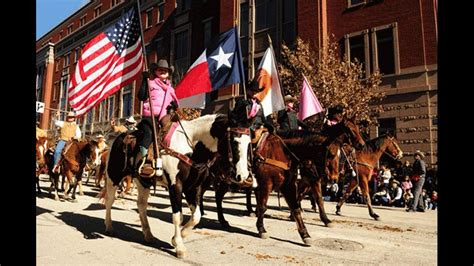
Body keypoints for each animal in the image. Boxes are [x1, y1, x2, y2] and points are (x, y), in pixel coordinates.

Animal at [103, 114, 252, 258]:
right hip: (113, 177)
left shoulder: (193, 188)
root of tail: (118, 137)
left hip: (143, 181)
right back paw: (109, 227)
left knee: (141, 205)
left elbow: (196, 216)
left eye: (249, 143)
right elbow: (177, 217)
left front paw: (178, 237)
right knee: (109, 201)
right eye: (235, 142)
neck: (191, 147)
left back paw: (148, 235)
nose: (243, 176)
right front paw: (179, 246)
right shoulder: (175, 186)